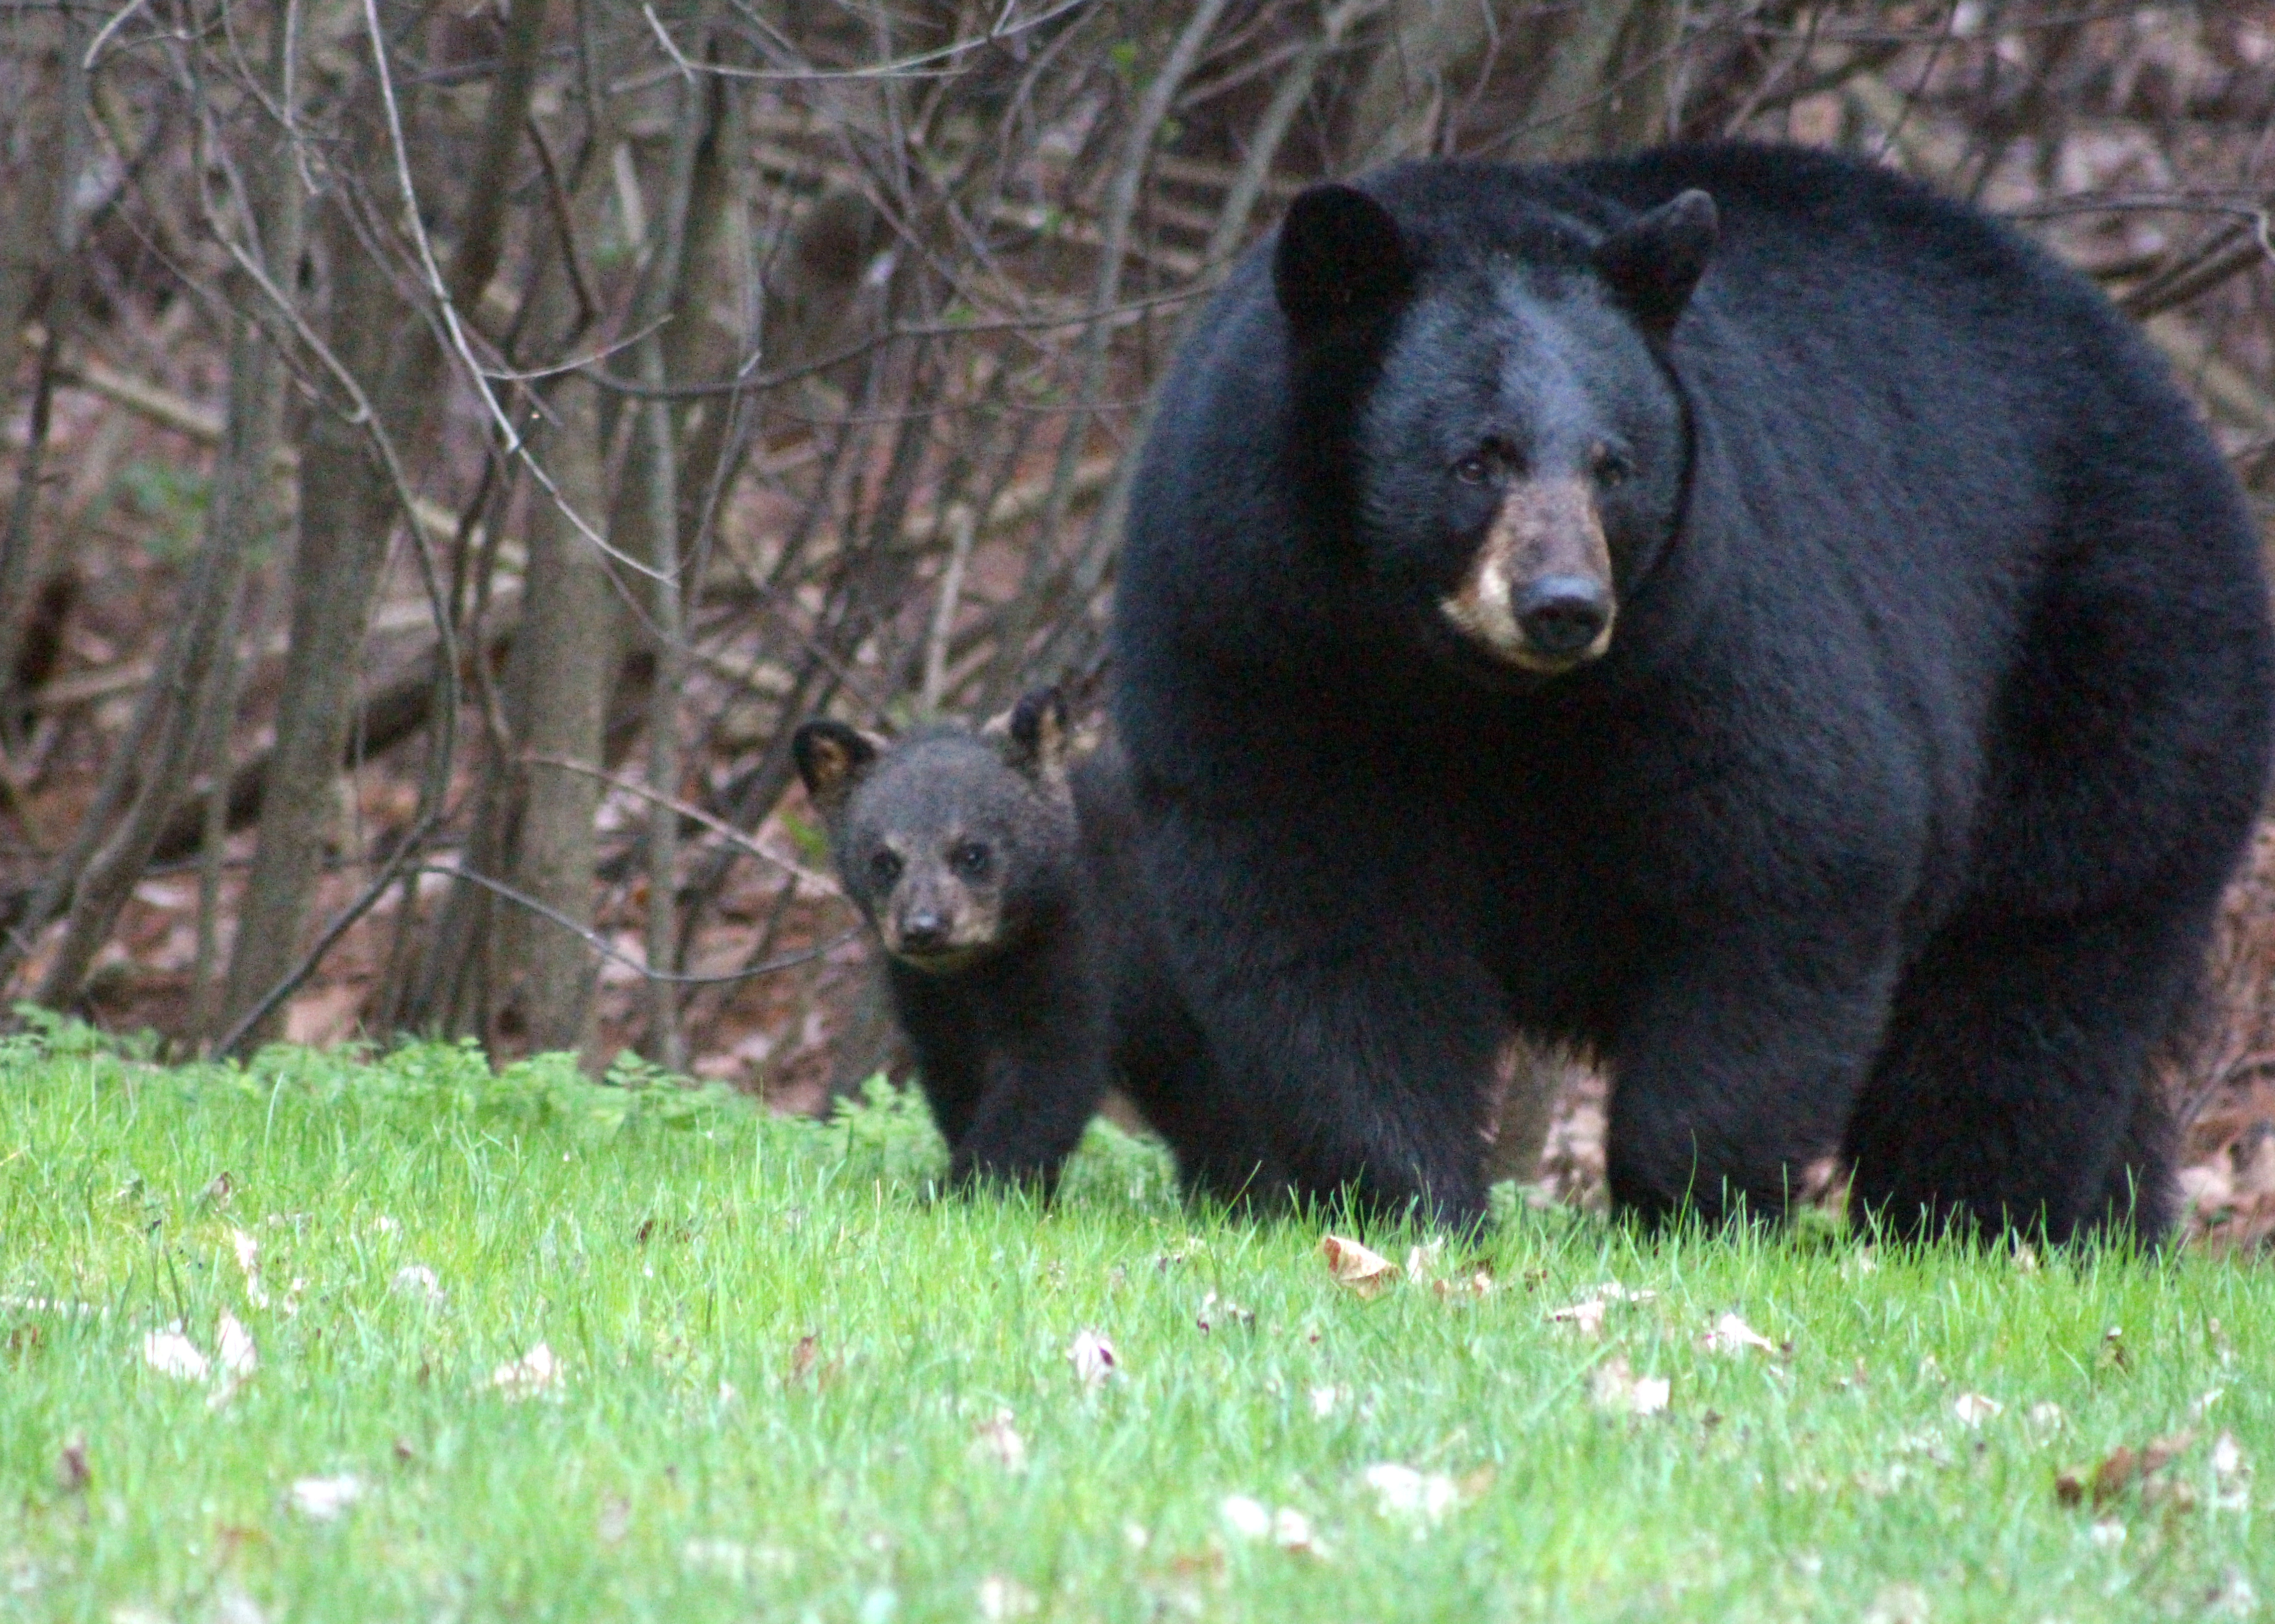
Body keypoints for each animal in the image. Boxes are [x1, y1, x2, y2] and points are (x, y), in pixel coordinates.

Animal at [1114, 145, 2275, 1237]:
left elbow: (1789, 863)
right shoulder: (1257, 643)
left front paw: (1687, 1209)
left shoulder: (1709, 634)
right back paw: (2104, 1227)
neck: (1478, 695)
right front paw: (1406, 1199)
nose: (1563, 605)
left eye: (1612, 465)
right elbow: (1321, 906)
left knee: (2033, 968)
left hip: (2114, 660)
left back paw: (1977, 1218)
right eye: (1476, 460)